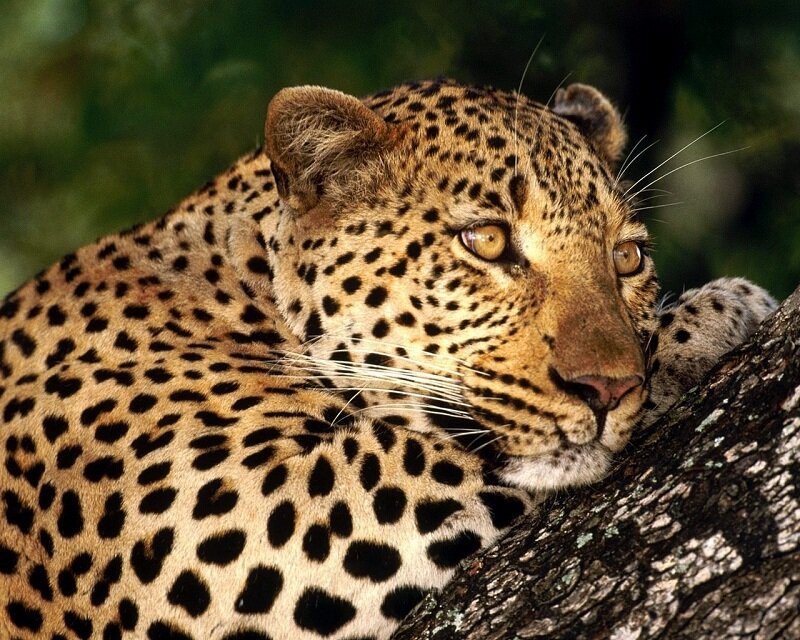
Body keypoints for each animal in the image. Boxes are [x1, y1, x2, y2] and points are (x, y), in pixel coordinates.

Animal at [0, 78, 776, 640]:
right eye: (486, 241)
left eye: (627, 258)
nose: (609, 389)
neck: (236, 282)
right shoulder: (244, 518)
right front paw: (718, 311)